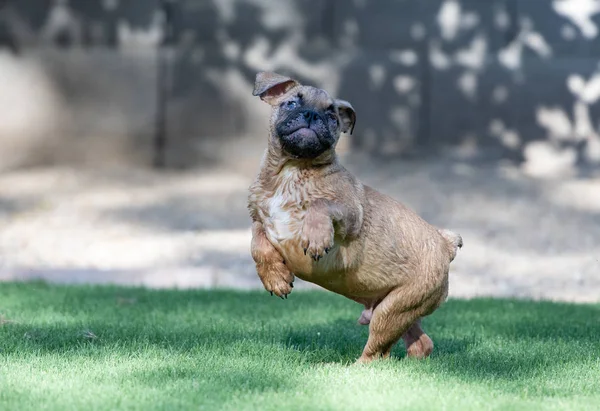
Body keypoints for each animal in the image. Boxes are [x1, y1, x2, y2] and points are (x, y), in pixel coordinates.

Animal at [246, 71, 462, 364]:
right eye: (291, 103)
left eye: (332, 116)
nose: (311, 114)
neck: (293, 169)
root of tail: (445, 244)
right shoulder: (259, 217)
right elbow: (257, 242)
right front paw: (274, 277)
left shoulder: (349, 212)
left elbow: (320, 205)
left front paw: (315, 236)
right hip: (402, 310)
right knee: (420, 344)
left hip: (393, 310)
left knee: (378, 352)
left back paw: (349, 369)